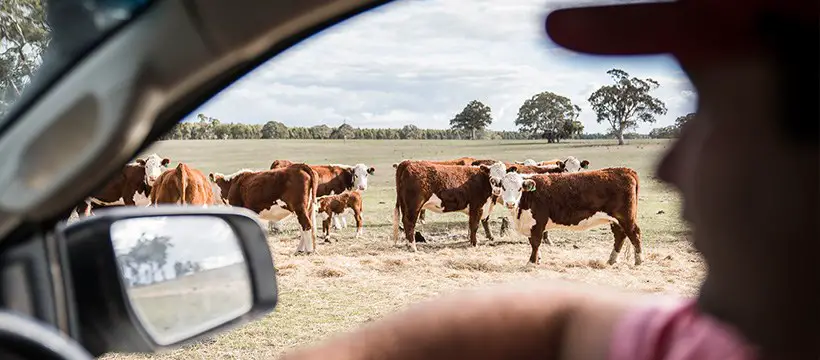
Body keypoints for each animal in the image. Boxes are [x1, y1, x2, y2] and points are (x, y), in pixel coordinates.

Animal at [496, 167, 644, 266]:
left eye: (519, 188)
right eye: (503, 187)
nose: (510, 203)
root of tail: (626, 170)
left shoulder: (538, 222)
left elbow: (536, 242)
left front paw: (531, 262)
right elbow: (533, 242)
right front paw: (537, 260)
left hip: (626, 217)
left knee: (634, 233)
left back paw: (639, 260)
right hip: (615, 220)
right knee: (620, 235)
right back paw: (611, 260)